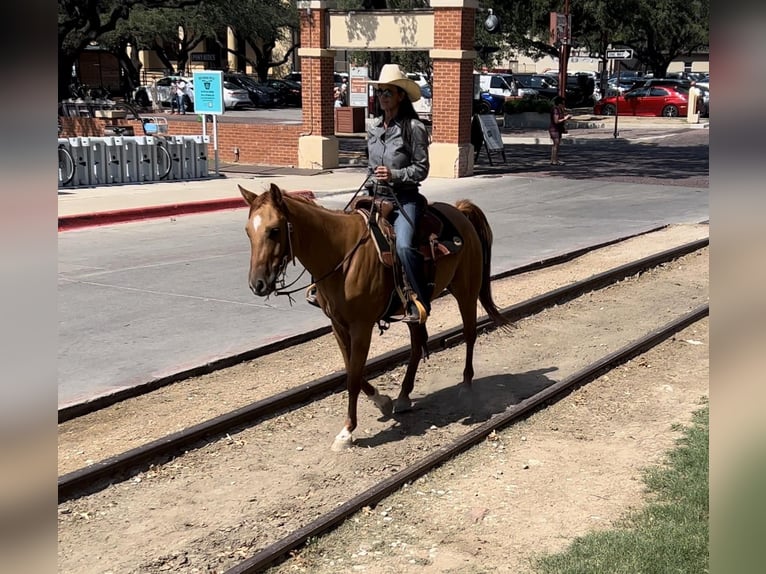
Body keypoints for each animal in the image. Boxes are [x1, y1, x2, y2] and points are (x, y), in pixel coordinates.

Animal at [240, 182, 512, 452]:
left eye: (274, 230)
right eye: (248, 232)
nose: (257, 284)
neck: (341, 256)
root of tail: (459, 211)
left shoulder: (361, 326)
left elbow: (353, 376)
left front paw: (347, 431)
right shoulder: (337, 325)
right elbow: (352, 369)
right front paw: (382, 401)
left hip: (466, 291)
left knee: (469, 333)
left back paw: (466, 386)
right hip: (415, 310)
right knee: (417, 346)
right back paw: (403, 397)